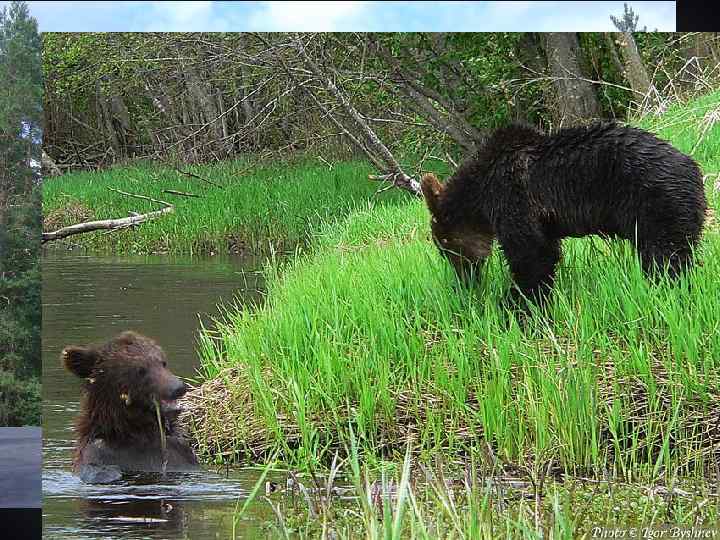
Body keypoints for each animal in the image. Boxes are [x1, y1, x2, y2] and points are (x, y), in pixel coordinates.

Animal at [422, 121, 708, 304]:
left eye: (445, 246)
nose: (463, 283)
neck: (479, 194)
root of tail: (694, 169)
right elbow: (544, 251)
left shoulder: (512, 197)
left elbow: (532, 255)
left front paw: (517, 304)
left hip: (657, 204)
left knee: (666, 258)